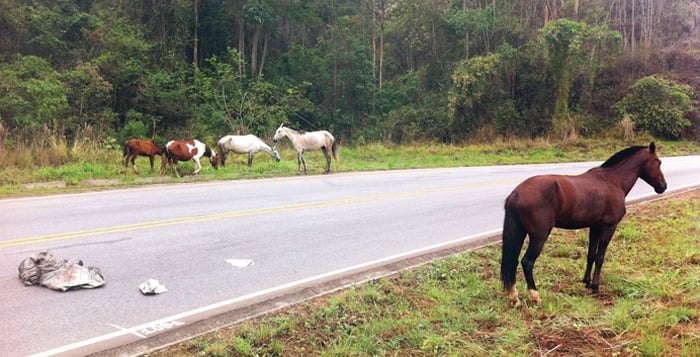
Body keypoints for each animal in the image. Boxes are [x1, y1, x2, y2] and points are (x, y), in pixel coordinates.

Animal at [498, 142, 668, 306]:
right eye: (658, 162)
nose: (663, 186)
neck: (613, 181)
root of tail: (516, 193)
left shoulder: (595, 227)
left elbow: (591, 254)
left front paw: (586, 282)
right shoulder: (608, 227)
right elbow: (600, 257)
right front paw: (595, 287)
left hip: (519, 232)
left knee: (512, 262)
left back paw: (514, 298)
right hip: (539, 236)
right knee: (527, 262)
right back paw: (535, 296)